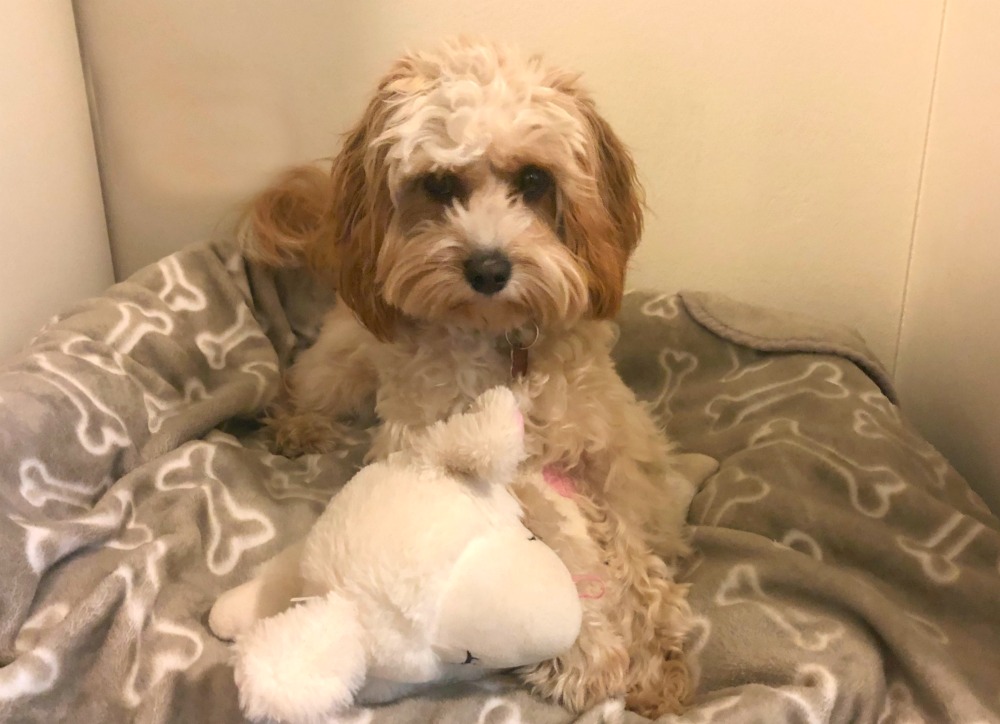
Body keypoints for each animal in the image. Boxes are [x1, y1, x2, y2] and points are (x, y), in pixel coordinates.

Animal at [249, 38, 720, 712]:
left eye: (534, 180)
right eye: (440, 183)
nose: (489, 268)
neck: (504, 344)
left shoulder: (611, 455)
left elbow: (630, 544)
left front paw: (656, 653)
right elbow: (554, 545)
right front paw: (587, 652)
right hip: (341, 364)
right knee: (300, 384)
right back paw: (298, 428)